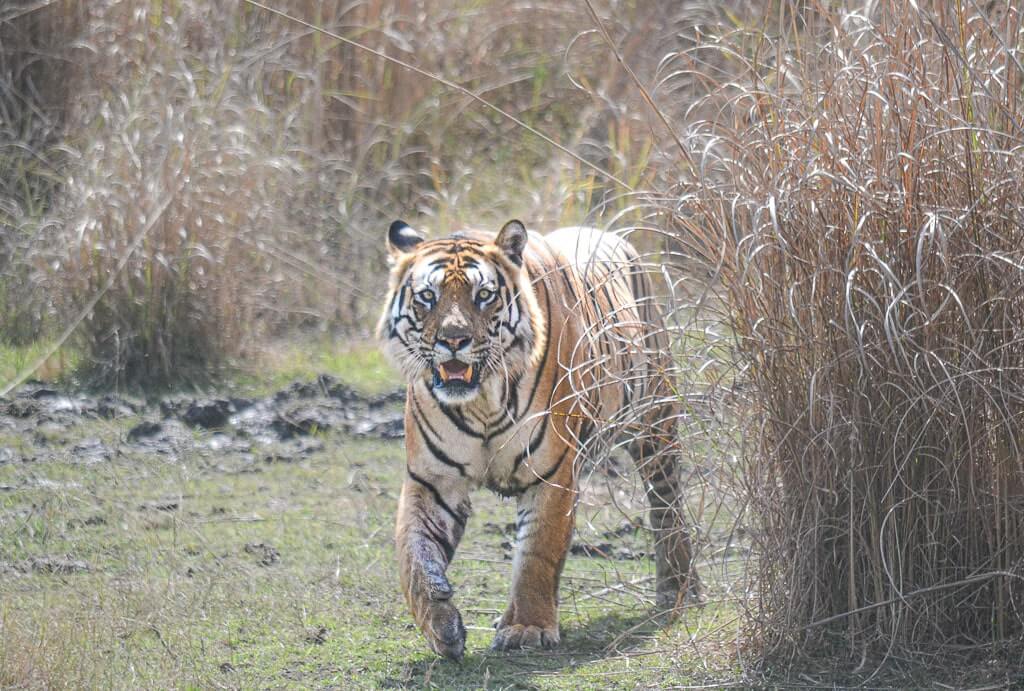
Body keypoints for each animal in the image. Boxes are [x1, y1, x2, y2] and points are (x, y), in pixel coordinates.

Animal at [378, 218, 704, 659]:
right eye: (427, 297)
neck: (481, 401)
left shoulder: (553, 473)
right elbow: (413, 552)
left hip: (655, 421)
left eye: (484, 296)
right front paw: (440, 622)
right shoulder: (431, 480)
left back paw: (678, 589)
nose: (453, 341)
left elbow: (537, 554)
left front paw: (527, 628)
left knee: (667, 507)